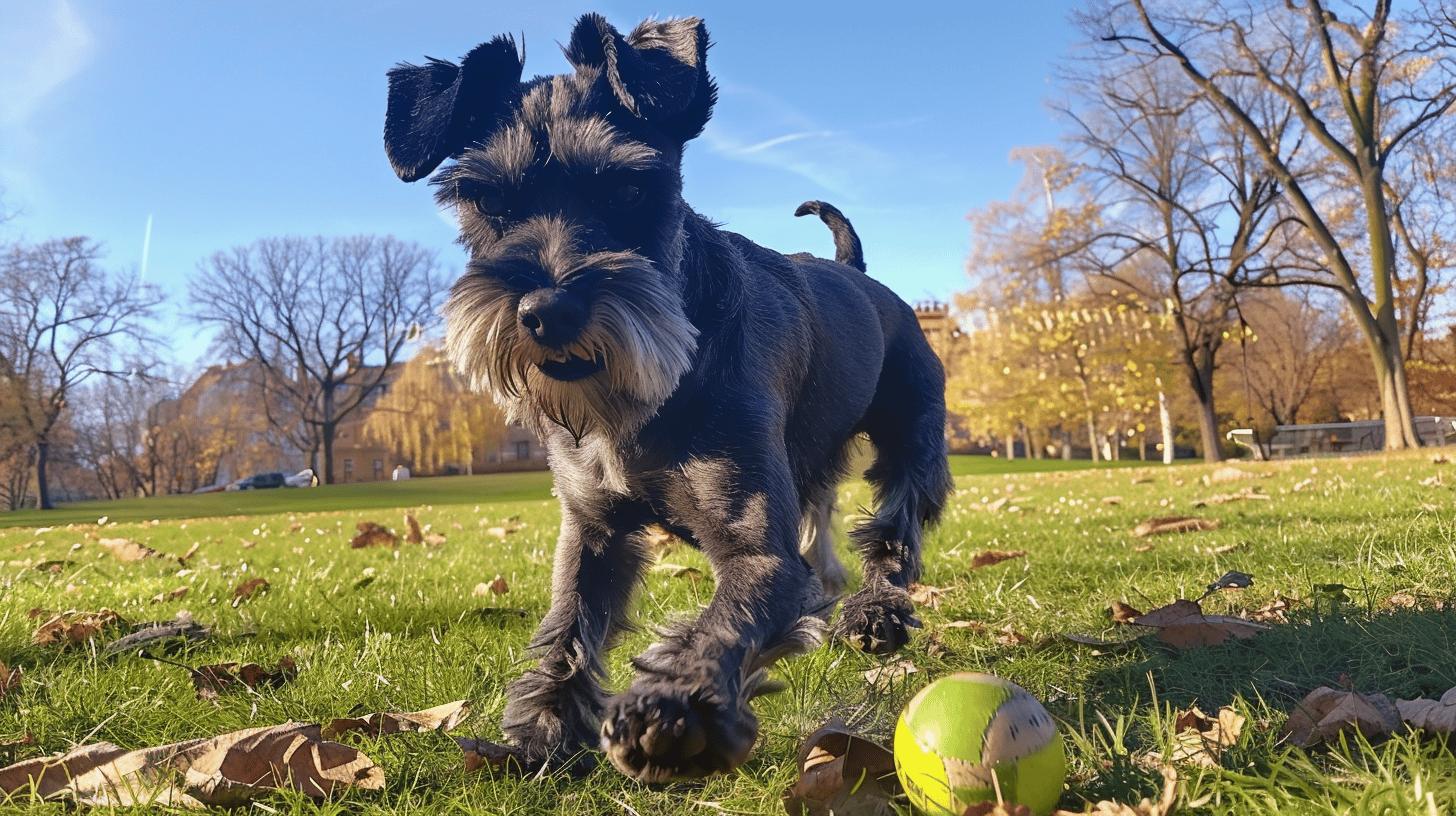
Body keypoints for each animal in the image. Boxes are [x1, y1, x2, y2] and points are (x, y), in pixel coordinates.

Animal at [387, 12, 949, 775]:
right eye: (488, 201)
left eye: (628, 190)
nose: (546, 312)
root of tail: (858, 274)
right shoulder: (592, 531)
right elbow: (568, 626)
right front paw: (540, 735)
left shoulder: (758, 551)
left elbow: (721, 622)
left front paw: (672, 711)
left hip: (912, 436)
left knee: (896, 525)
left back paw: (876, 612)